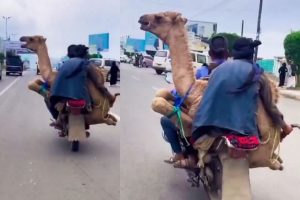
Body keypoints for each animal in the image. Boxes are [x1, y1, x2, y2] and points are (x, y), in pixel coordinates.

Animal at [141, 11, 286, 170]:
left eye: (159, 17)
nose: (142, 18)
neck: (194, 89)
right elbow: (161, 94)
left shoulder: (195, 118)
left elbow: (159, 104)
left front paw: (187, 157)